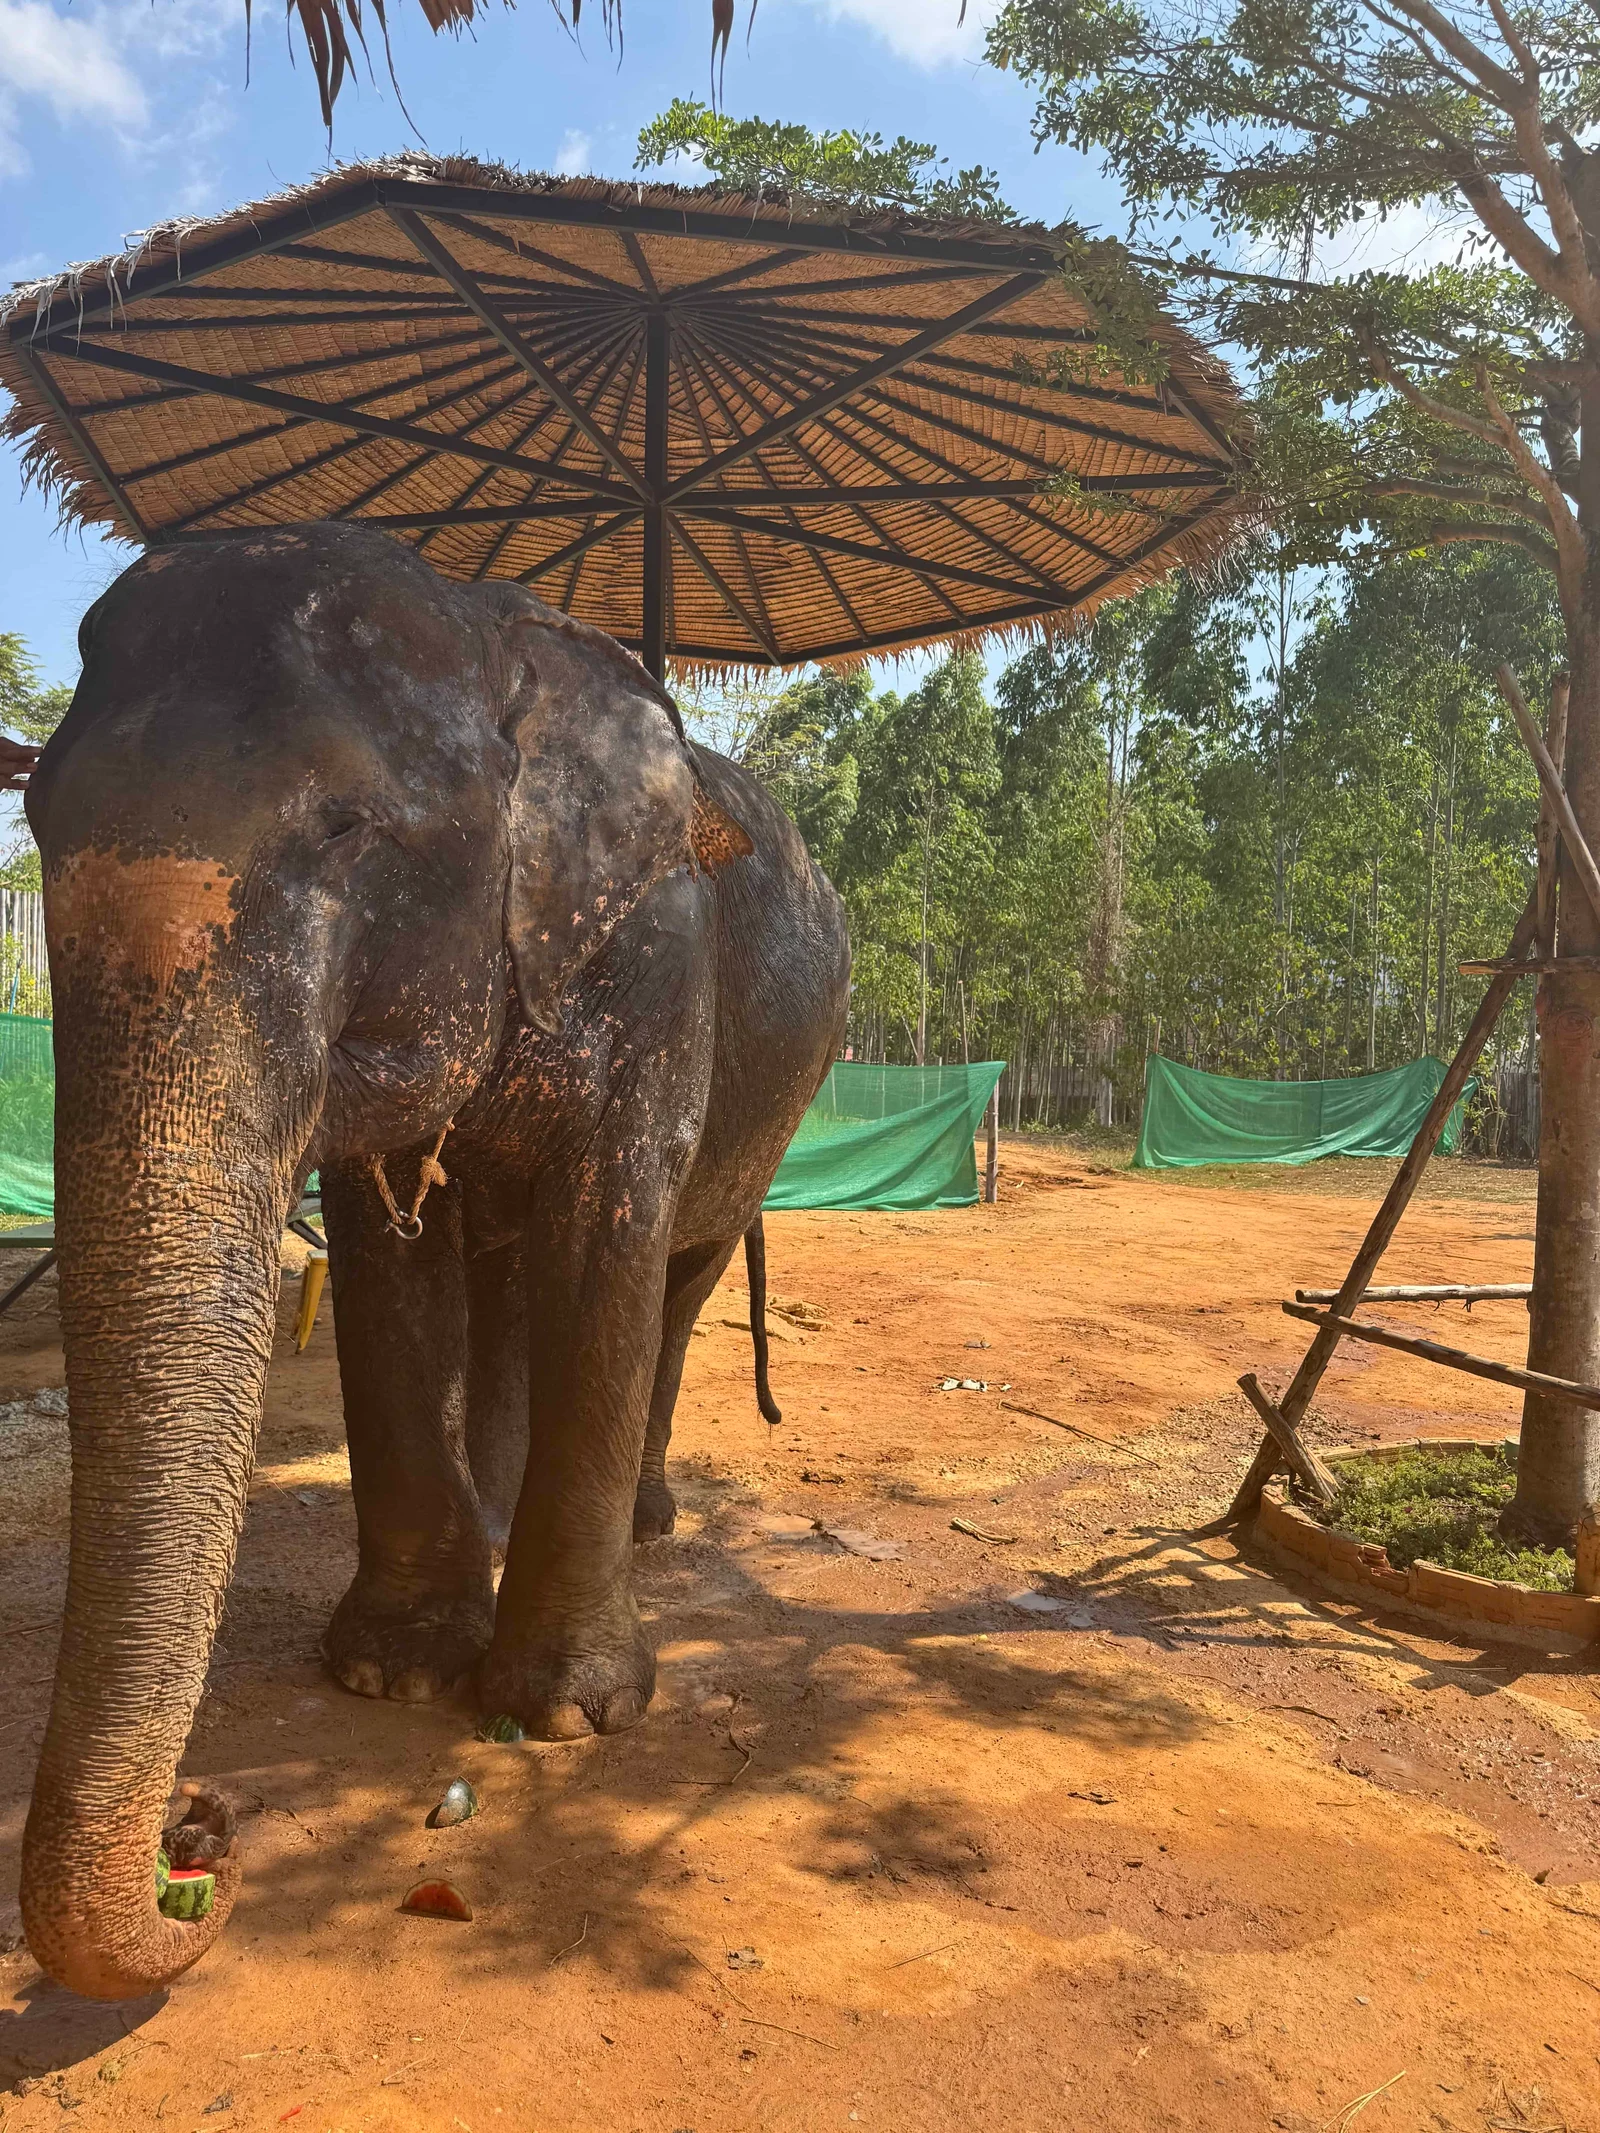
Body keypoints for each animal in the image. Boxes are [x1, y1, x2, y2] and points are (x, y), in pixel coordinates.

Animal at [17, 522, 850, 2003]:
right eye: (39, 817)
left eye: (349, 827)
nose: (200, 1834)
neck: (488, 638)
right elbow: (388, 1266)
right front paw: (395, 1675)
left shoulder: (656, 957)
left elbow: (611, 1229)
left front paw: (570, 1711)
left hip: (784, 1092)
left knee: (678, 1278)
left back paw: (644, 1523)